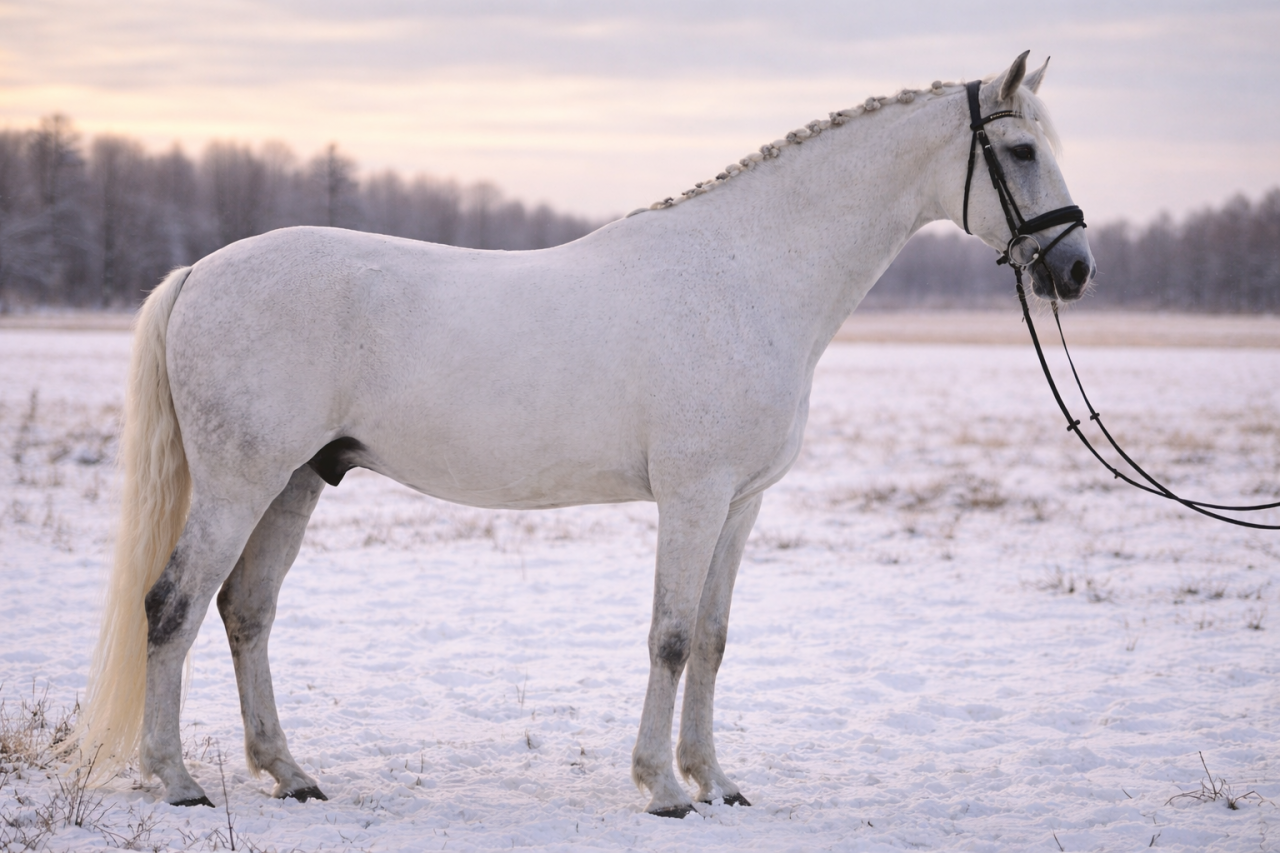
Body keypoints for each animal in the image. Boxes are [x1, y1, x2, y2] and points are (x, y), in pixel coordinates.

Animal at [75, 51, 1094, 818]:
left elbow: (714, 638)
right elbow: (671, 638)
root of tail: (201, 271)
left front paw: (715, 781)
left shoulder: (741, 504)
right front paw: (662, 789)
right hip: (240, 483)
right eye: (1017, 148)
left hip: (293, 481)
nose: (1077, 267)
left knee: (245, 612)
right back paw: (177, 781)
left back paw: (290, 773)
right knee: (171, 605)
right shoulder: (693, 495)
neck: (748, 274)